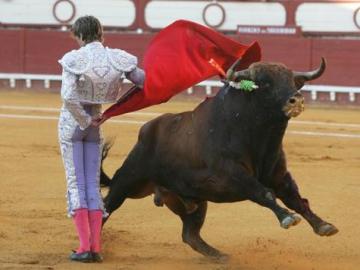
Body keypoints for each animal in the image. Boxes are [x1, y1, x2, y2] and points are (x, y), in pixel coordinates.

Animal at [100, 58, 338, 258]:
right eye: (264, 83)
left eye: (292, 81)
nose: (296, 100)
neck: (260, 138)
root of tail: (147, 131)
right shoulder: (232, 175)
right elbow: (264, 193)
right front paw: (287, 217)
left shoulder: (279, 175)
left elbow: (296, 199)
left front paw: (323, 225)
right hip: (127, 181)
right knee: (106, 207)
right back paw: (95, 250)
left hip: (194, 199)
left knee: (190, 235)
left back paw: (220, 257)